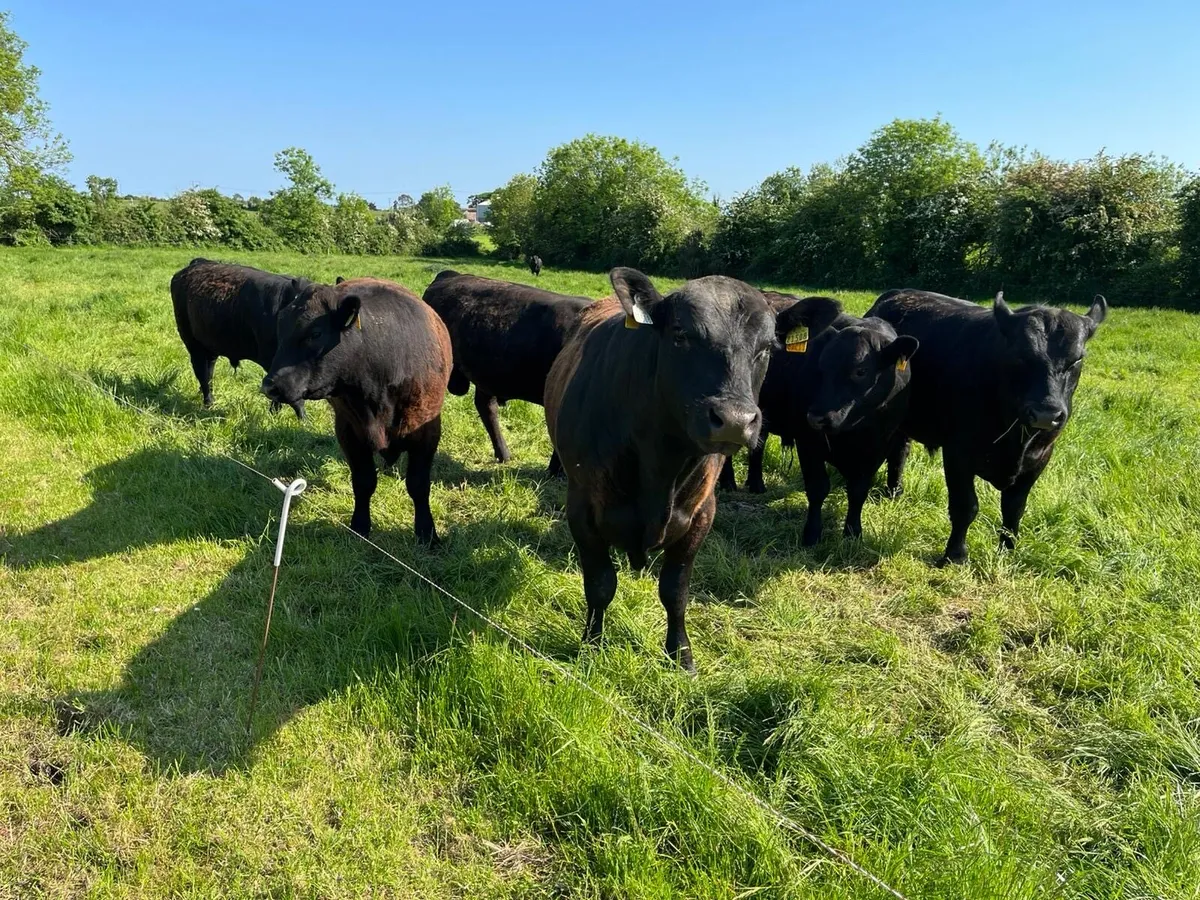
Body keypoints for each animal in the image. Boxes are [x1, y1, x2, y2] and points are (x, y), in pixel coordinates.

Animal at [170, 258, 310, 417]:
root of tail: (199, 262)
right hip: (192, 342)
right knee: (202, 373)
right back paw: (208, 403)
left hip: (210, 344)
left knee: (209, 371)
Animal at [261, 278, 453, 544]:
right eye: (280, 327)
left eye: (316, 333)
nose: (270, 385)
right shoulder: (348, 431)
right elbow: (363, 482)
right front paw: (360, 526)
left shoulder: (427, 431)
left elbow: (418, 485)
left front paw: (427, 533)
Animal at [545, 267, 810, 672]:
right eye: (681, 335)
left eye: (767, 348)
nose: (735, 421)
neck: (660, 464)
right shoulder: (582, 508)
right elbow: (600, 584)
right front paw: (591, 645)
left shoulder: (700, 514)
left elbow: (675, 591)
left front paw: (681, 655)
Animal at [719, 296, 919, 546]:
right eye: (821, 367)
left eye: (860, 371)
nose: (816, 416)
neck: (855, 430)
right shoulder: (808, 442)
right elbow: (818, 488)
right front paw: (812, 534)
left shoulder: (879, 448)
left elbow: (858, 491)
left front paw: (853, 533)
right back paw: (728, 483)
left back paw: (756, 484)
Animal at [867, 288, 1107, 565]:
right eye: (1020, 355)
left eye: (1076, 360)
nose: (1046, 414)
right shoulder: (957, 454)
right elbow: (966, 506)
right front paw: (955, 555)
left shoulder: (1039, 459)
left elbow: (1014, 509)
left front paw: (1008, 552)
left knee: (899, 451)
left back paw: (895, 491)